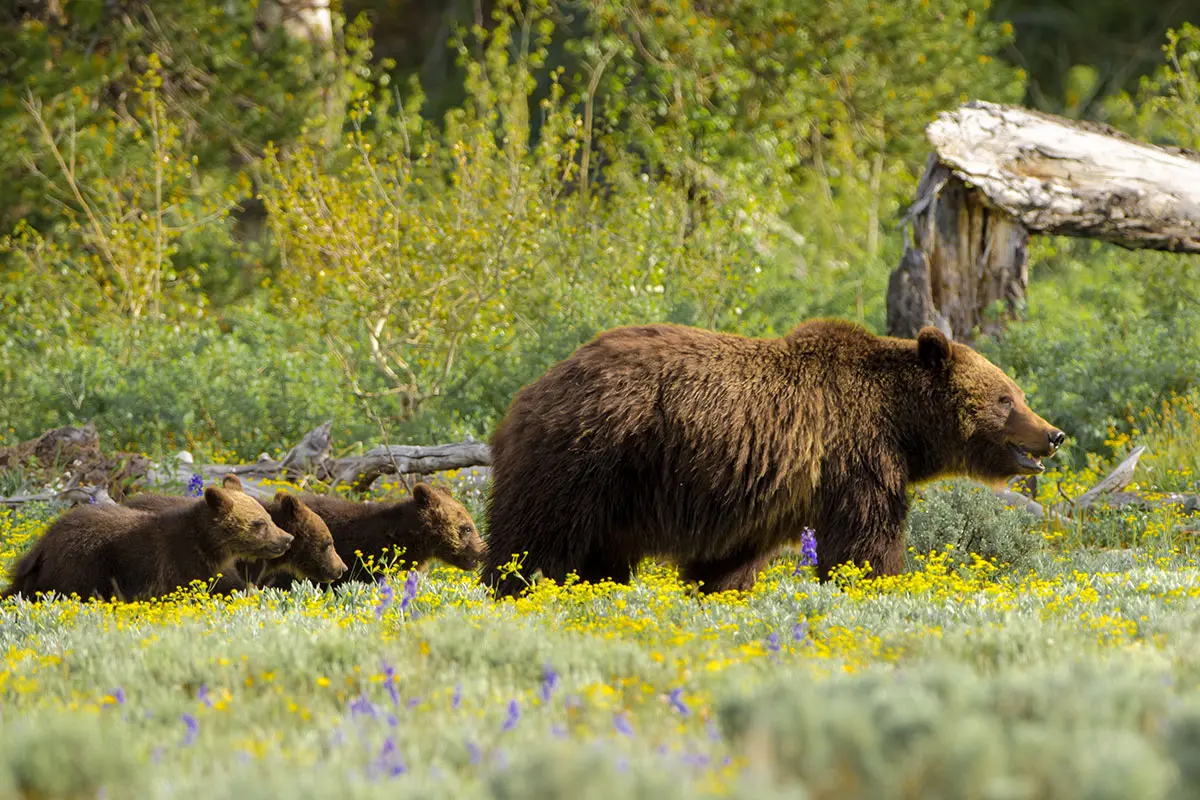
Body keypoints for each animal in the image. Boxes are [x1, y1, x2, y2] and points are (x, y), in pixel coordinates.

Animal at [1, 480, 294, 601]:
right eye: (259, 524)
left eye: (268, 517)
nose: (287, 539)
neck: (209, 545)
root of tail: (43, 542)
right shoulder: (180, 561)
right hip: (80, 567)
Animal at [480, 319, 1064, 598]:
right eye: (1005, 399)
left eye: (1018, 392)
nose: (1053, 434)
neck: (902, 423)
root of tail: (525, 395)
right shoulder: (856, 454)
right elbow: (865, 538)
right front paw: (875, 582)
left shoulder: (757, 490)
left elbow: (727, 559)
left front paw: (718, 592)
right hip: (585, 457)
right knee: (534, 538)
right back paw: (512, 589)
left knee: (599, 556)